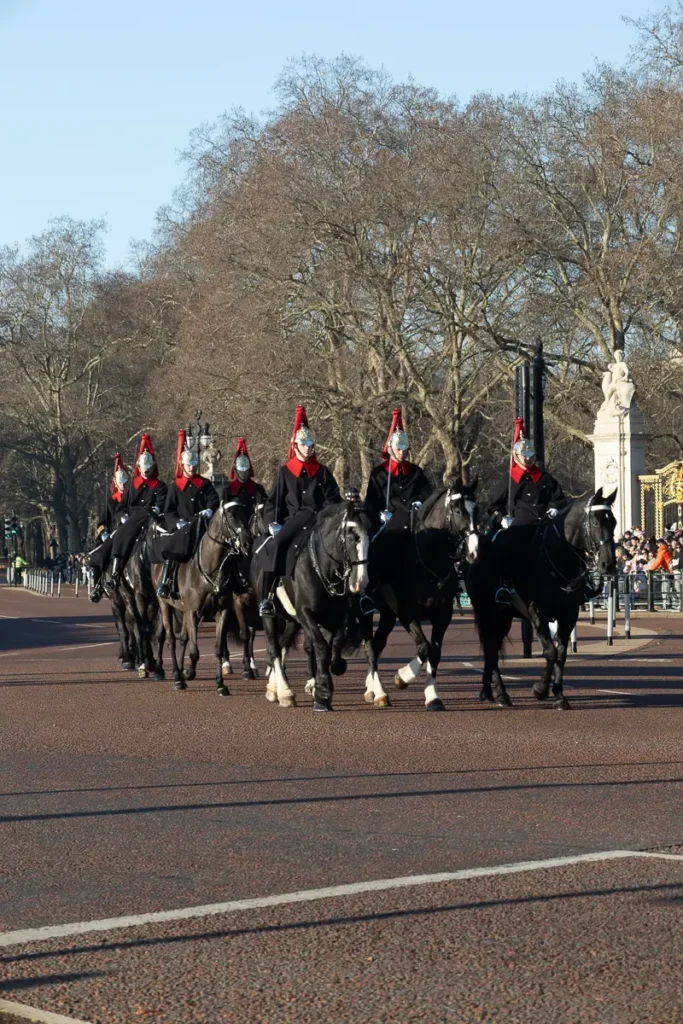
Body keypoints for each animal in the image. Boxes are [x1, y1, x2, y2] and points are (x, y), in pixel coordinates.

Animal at [152, 500, 252, 692]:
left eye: (247, 515)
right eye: (230, 516)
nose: (246, 543)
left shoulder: (222, 612)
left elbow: (218, 648)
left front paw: (220, 684)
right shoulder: (193, 612)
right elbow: (194, 651)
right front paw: (188, 674)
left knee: (183, 639)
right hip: (165, 605)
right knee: (170, 639)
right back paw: (177, 677)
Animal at [253, 499, 371, 711]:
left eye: (369, 535)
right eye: (352, 536)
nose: (360, 582)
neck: (323, 568)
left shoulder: (336, 617)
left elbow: (336, 642)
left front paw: (335, 669)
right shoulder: (305, 613)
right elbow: (321, 646)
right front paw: (323, 692)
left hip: (291, 621)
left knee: (282, 645)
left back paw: (275, 688)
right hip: (270, 617)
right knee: (274, 648)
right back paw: (284, 692)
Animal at [360, 481, 480, 711]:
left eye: (477, 510)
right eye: (457, 510)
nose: (474, 552)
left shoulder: (443, 615)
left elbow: (435, 652)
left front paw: (433, 696)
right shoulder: (406, 612)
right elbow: (424, 648)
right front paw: (402, 677)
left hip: (387, 615)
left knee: (377, 646)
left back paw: (371, 689)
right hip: (366, 612)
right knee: (370, 648)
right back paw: (379, 693)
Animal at [466, 487, 617, 710]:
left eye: (613, 522)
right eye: (596, 522)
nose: (609, 564)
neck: (556, 557)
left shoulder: (568, 616)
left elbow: (561, 653)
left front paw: (560, 696)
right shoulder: (538, 615)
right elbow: (550, 652)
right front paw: (540, 689)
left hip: (504, 617)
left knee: (492, 647)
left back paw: (490, 692)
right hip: (488, 612)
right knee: (491, 648)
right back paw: (499, 693)